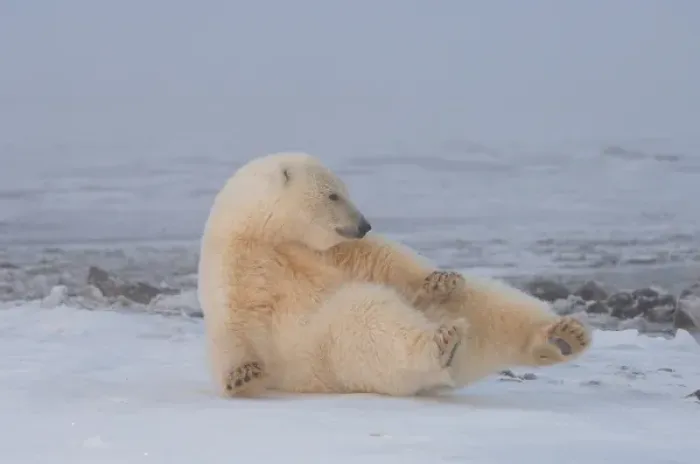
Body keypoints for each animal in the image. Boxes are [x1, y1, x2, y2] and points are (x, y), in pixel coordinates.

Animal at [197, 151, 591, 397]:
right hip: (331, 350)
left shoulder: (327, 251)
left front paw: (440, 280)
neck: (266, 237)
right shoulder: (236, 268)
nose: (364, 224)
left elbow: (382, 259)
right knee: (371, 323)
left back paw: (562, 335)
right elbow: (233, 324)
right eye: (333, 195)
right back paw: (444, 343)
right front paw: (242, 376)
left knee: (488, 304)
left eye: (343, 191)